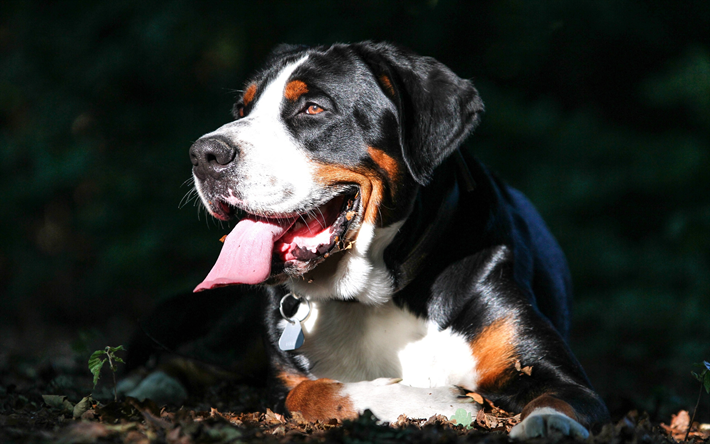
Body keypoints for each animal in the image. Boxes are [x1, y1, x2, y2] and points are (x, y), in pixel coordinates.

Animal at [182, 42, 608, 440]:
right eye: (242, 109)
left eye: (313, 109)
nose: (204, 154)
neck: (375, 296)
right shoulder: (283, 385)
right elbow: (311, 392)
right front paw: (436, 400)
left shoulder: (561, 377)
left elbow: (557, 398)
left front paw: (546, 424)